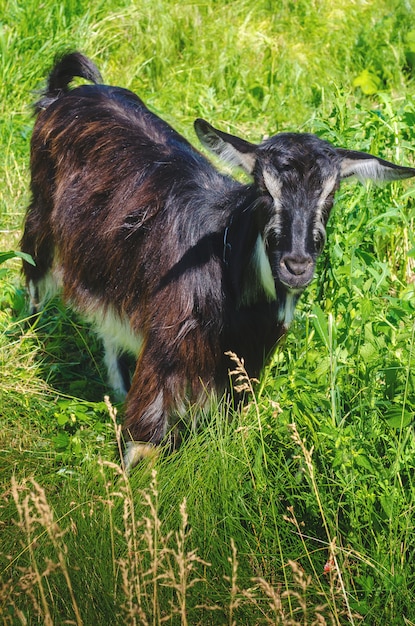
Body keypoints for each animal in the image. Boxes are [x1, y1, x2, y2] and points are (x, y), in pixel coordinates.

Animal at [21, 53, 415, 468]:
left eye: (331, 195)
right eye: (263, 189)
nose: (297, 265)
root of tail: (66, 94)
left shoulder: (242, 367)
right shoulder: (166, 348)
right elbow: (144, 440)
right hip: (40, 213)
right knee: (33, 274)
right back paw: (27, 334)